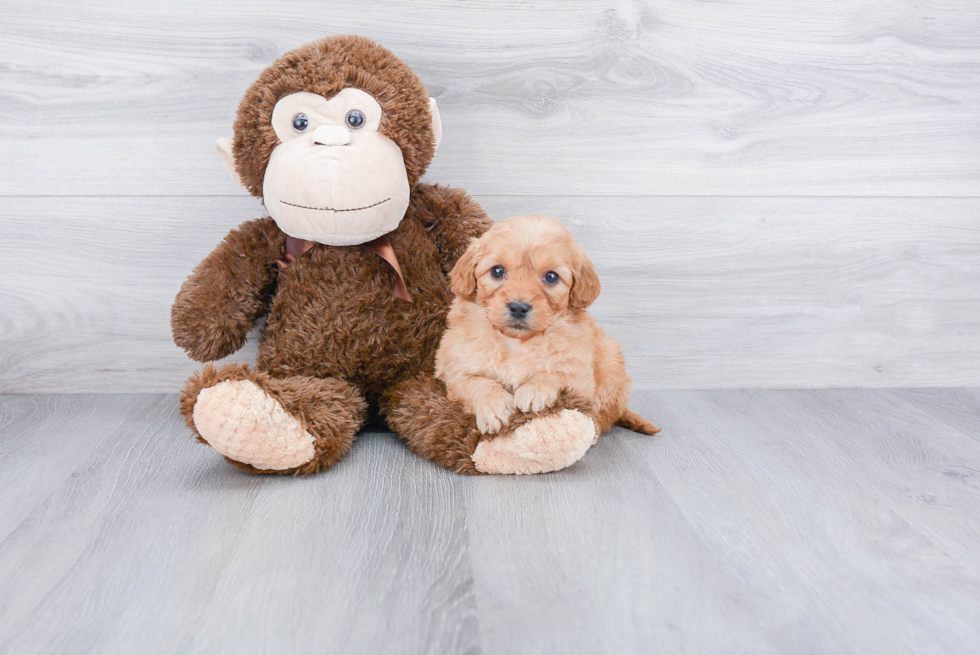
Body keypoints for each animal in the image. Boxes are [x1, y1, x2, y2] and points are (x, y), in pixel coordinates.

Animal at [436, 215, 660, 440]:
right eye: (497, 271)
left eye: (551, 277)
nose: (518, 307)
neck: (516, 342)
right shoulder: (453, 369)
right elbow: (475, 382)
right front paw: (494, 405)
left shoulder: (580, 377)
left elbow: (557, 374)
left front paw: (535, 389)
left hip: (610, 361)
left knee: (603, 417)